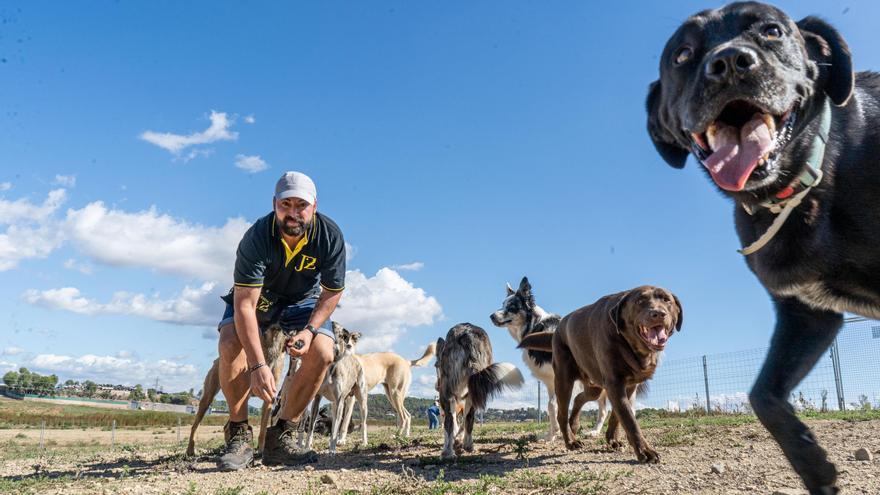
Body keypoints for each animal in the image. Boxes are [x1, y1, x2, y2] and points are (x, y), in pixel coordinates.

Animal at [434, 324, 524, 460]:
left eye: (437, 366)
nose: (436, 386)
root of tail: (468, 335)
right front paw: (458, 440)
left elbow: (455, 420)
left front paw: (456, 440)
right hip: (472, 388)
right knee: (468, 417)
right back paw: (464, 447)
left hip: (447, 390)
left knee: (451, 420)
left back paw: (449, 451)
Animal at [644, 1, 876, 494]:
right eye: (682, 54)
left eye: (771, 31)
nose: (731, 62)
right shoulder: (808, 315)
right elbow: (763, 395)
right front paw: (814, 465)